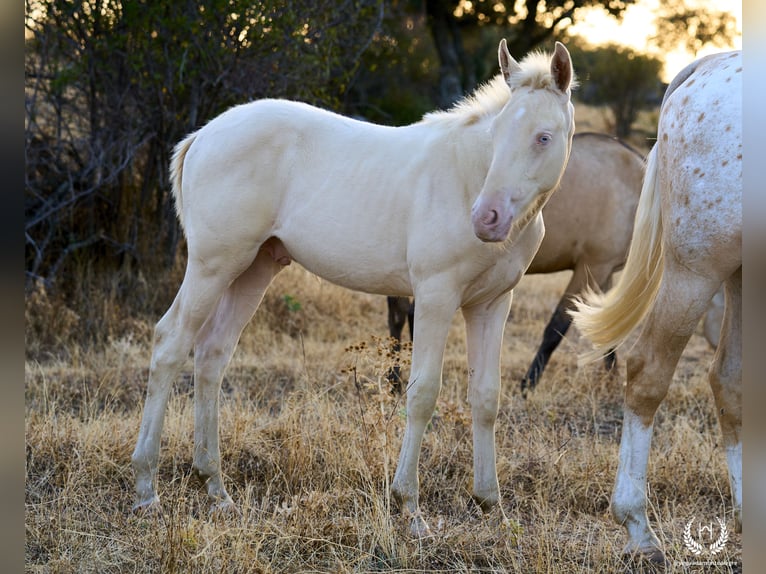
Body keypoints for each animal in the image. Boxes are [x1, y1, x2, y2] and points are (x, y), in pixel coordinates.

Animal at [132, 41, 576, 540]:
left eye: (543, 137)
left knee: (211, 355)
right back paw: (147, 489)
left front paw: (490, 503)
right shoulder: (436, 296)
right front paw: (410, 508)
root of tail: (204, 135)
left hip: (255, 268)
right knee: (170, 343)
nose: (486, 218)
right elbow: (422, 394)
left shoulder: (492, 305)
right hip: (213, 265)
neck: (467, 176)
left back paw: (215, 488)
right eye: (496, 135)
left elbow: (486, 397)